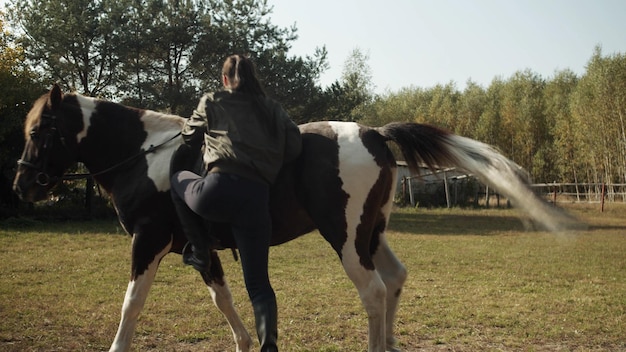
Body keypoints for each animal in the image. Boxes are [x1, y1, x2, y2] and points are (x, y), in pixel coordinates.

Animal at [11, 85, 576, 352]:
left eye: (41, 130)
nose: (22, 187)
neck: (148, 156)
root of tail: (373, 133)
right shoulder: (207, 251)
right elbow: (223, 299)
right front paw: (243, 343)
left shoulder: (147, 244)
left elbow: (131, 304)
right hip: (371, 235)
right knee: (394, 280)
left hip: (346, 238)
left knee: (374, 291)